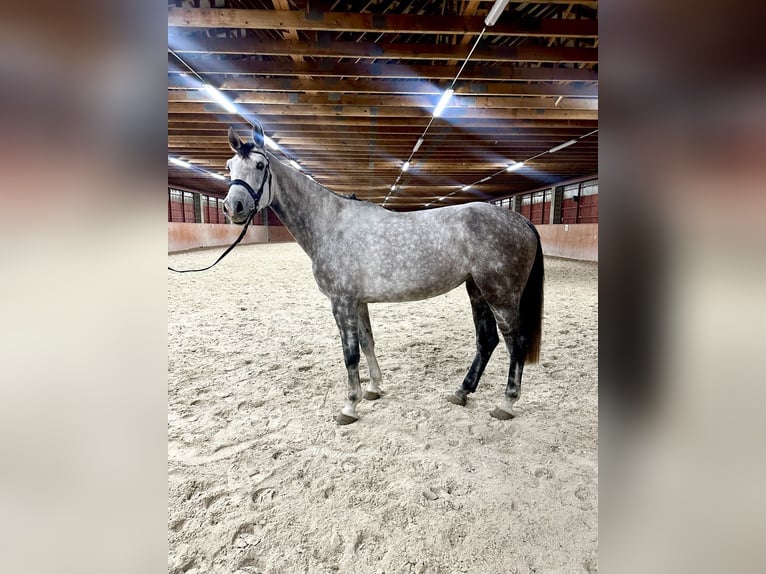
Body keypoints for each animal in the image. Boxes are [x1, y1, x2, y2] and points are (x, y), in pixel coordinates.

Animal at [224, 122, 544, 428]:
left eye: (260, 165)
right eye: (229, 166)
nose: (233, 207)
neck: (330, 224)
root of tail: (520, 220)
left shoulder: (341, 302)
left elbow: (350, 354)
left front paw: (349, 406)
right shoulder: (358, 302)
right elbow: (367, 343)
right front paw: (374, 389)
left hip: (500, 295)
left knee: (516, 343)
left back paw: (506, 403)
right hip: (477, 290)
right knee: (487, 340)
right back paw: (461, 392)